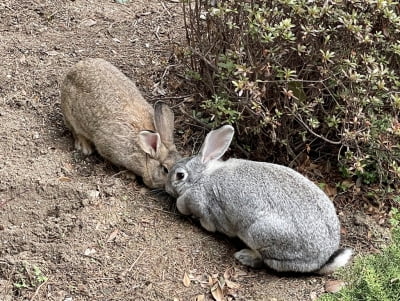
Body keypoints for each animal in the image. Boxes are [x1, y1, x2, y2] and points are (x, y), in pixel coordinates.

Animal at [60, 57, 180, 188]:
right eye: (165, 170)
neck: (145, 155)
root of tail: (73, 69)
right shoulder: (109, 149)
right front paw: (129, 174)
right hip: (71, 116)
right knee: (76, 131)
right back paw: (85, 148)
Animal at [166, 124, 354, 272]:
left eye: (179, 175)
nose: (167, 188)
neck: (202, 177)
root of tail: (321, 260)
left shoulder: (204, 206)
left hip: (259, 233)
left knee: (265, 261)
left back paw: (244, 256)